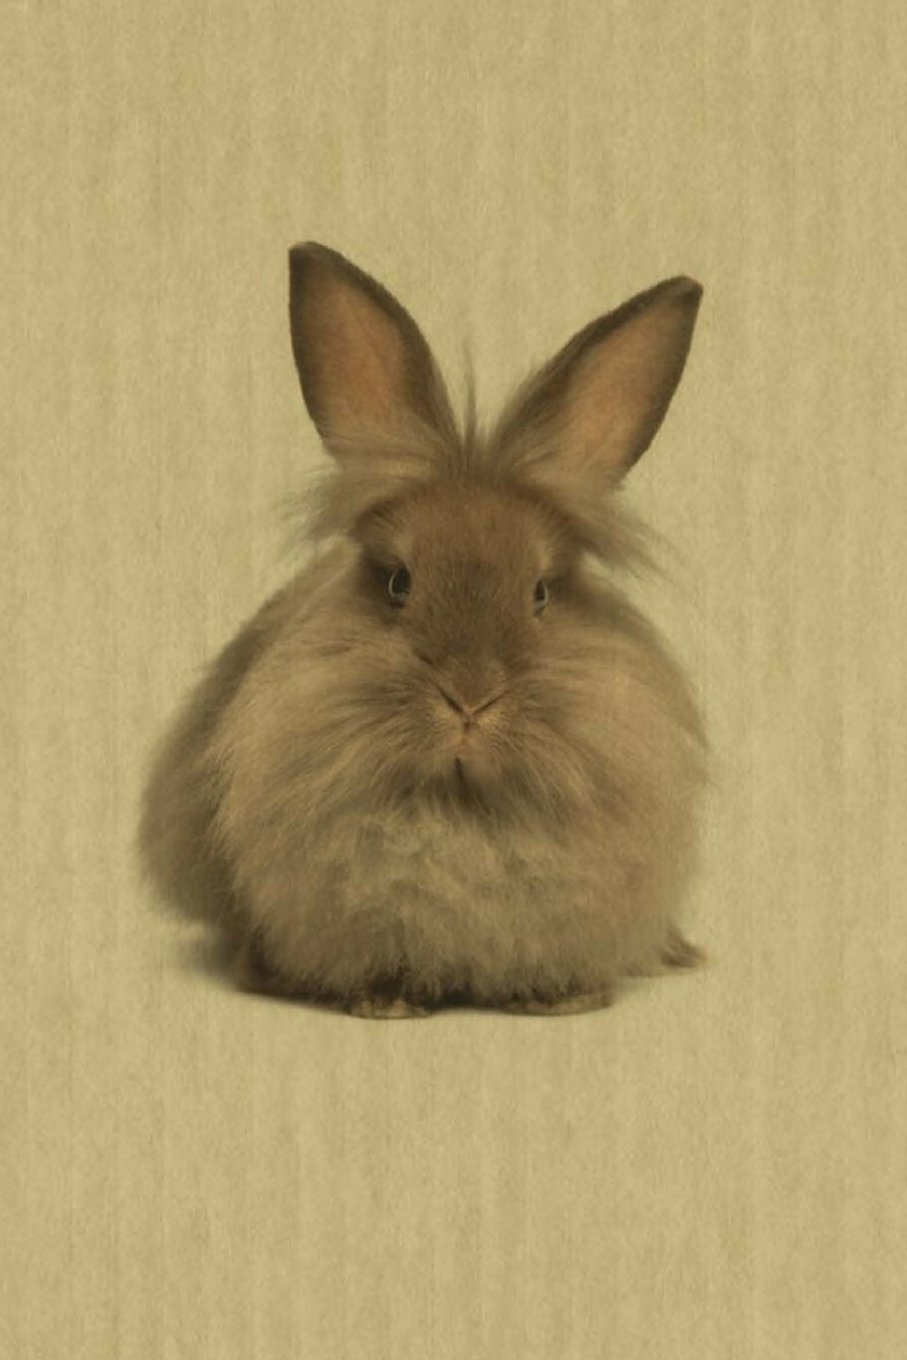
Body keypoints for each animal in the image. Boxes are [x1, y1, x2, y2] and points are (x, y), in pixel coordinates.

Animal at [138, 242, 707, 1018]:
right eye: (397, 583)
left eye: (540, 592)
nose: (469, 699)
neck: (460, 806)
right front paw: (385, 1002)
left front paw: (562, 999)